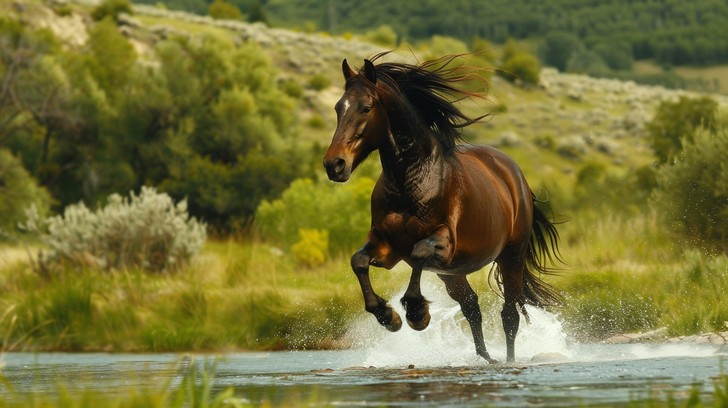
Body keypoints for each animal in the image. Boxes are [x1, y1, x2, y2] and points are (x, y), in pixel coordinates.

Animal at [322, 53, 562, 363]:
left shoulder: (444, 243)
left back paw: (507, 360)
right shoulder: (386, 247)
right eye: (338, 107)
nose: (334, 165)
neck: (411, 181)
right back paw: (485, 357)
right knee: (472, 307)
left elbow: (419, 252)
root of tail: (515, 175)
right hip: (453, 274)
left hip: (511, 258)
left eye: (366, 107)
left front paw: (416, 314)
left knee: (510, 315)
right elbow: (359, 261)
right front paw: (389, 317)